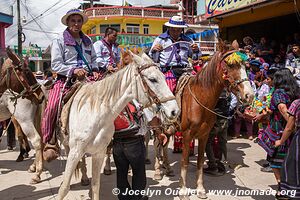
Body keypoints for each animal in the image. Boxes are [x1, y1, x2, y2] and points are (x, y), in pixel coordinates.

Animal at [58, 52, 178, 199]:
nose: (175, 111)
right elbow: (64, 188)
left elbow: (96, 185)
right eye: (153, 79)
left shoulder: (99, 152)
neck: (96, 115)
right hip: (67, 144)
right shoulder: (75, 151)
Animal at [179, 39, 254, 199]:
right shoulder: (187, 135)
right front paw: (183, 190)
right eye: (230, 65)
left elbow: (200, 161)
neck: (200, 101)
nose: (249, 95)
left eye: (245, 66)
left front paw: (200, 189)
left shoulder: (204, 135)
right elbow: (184, 162)